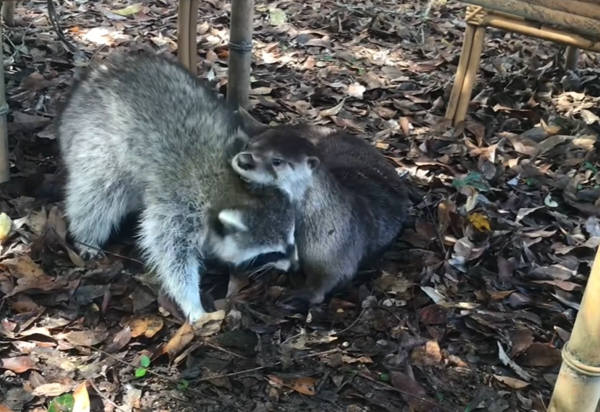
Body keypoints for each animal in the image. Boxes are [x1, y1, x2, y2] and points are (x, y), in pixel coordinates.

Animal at [57, 51, 296, 322]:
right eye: (271, 253)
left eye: (291, 241)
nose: (294, 268)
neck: (233, 190)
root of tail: (98, 72)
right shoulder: (182, 205)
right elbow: (170, 252)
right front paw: (191, 301)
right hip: (97, 141)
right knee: (98, 192)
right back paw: (87, 236)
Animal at [230, 124, 408, 308]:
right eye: (247, 145)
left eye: (277, 161)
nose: (243, 160)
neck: (325, 219)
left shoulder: (335, 247)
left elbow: (333, 275)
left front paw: (301, 294)